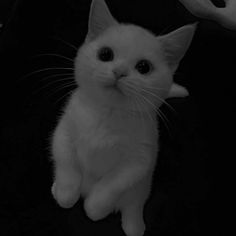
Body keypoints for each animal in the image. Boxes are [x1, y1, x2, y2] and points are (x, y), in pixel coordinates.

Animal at [50, 0, 196, 235]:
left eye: (143, 67)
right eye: (105, 54)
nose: (119, 71)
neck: (107, 115)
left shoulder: (139, 160)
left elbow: (113, 183)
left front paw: (94, 207)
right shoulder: (64, 130)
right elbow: (66, 161)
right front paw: (66, 193)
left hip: (140, 191)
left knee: (131, 208)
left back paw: (134, 226)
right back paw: (56, 188)